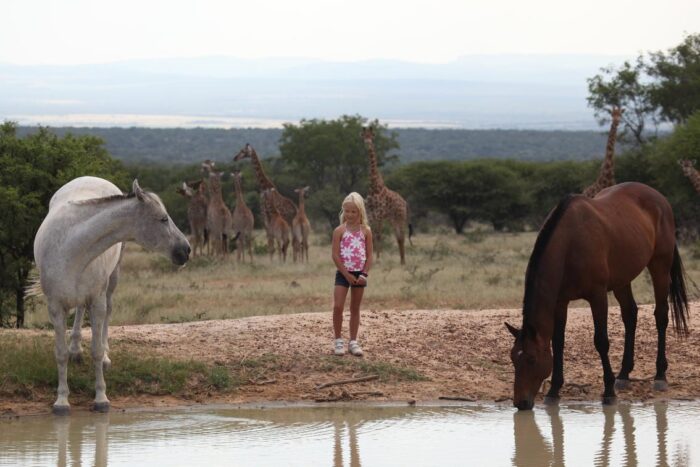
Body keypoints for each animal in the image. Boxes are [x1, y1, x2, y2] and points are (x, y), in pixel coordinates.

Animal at [34, 177, 190, 414]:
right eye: (163, 219)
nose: (186, 250)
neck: (71, 247)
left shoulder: (97, 301)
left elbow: (97, 350)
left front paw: (101, 398)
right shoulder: (55, 307)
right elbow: (60, 354)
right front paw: (61, 401)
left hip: (112, 280)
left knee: (106, 313)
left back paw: (102, 356)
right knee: (80, 310)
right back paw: (75, 349)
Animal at [360, 126, 410, 266]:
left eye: (372, 136)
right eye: (363, 135)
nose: (367, 143)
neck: (373, 187)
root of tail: (404, 202)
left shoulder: (379, 214)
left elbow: (378, 235)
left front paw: (378, 259)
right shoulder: (370, 214)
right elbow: (370, 234)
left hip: (401, 217)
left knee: (402, 236)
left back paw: (404, 261)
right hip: (393, 219)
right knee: (398, 237)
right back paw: (401, 260)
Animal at [506, 182, 688, 410]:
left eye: (531, 359)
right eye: (513, 358)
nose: (521, 403)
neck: (570, 243)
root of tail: (659, 197)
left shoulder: (598, 295)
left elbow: (601, 341)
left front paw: (608, 391)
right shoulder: (561, 302)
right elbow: (558, 341)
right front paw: (554, 390)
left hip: (660, 266)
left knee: (661, 315)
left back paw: (660, 376)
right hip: (623, 278)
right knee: (630, 315)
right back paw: (624, 375)